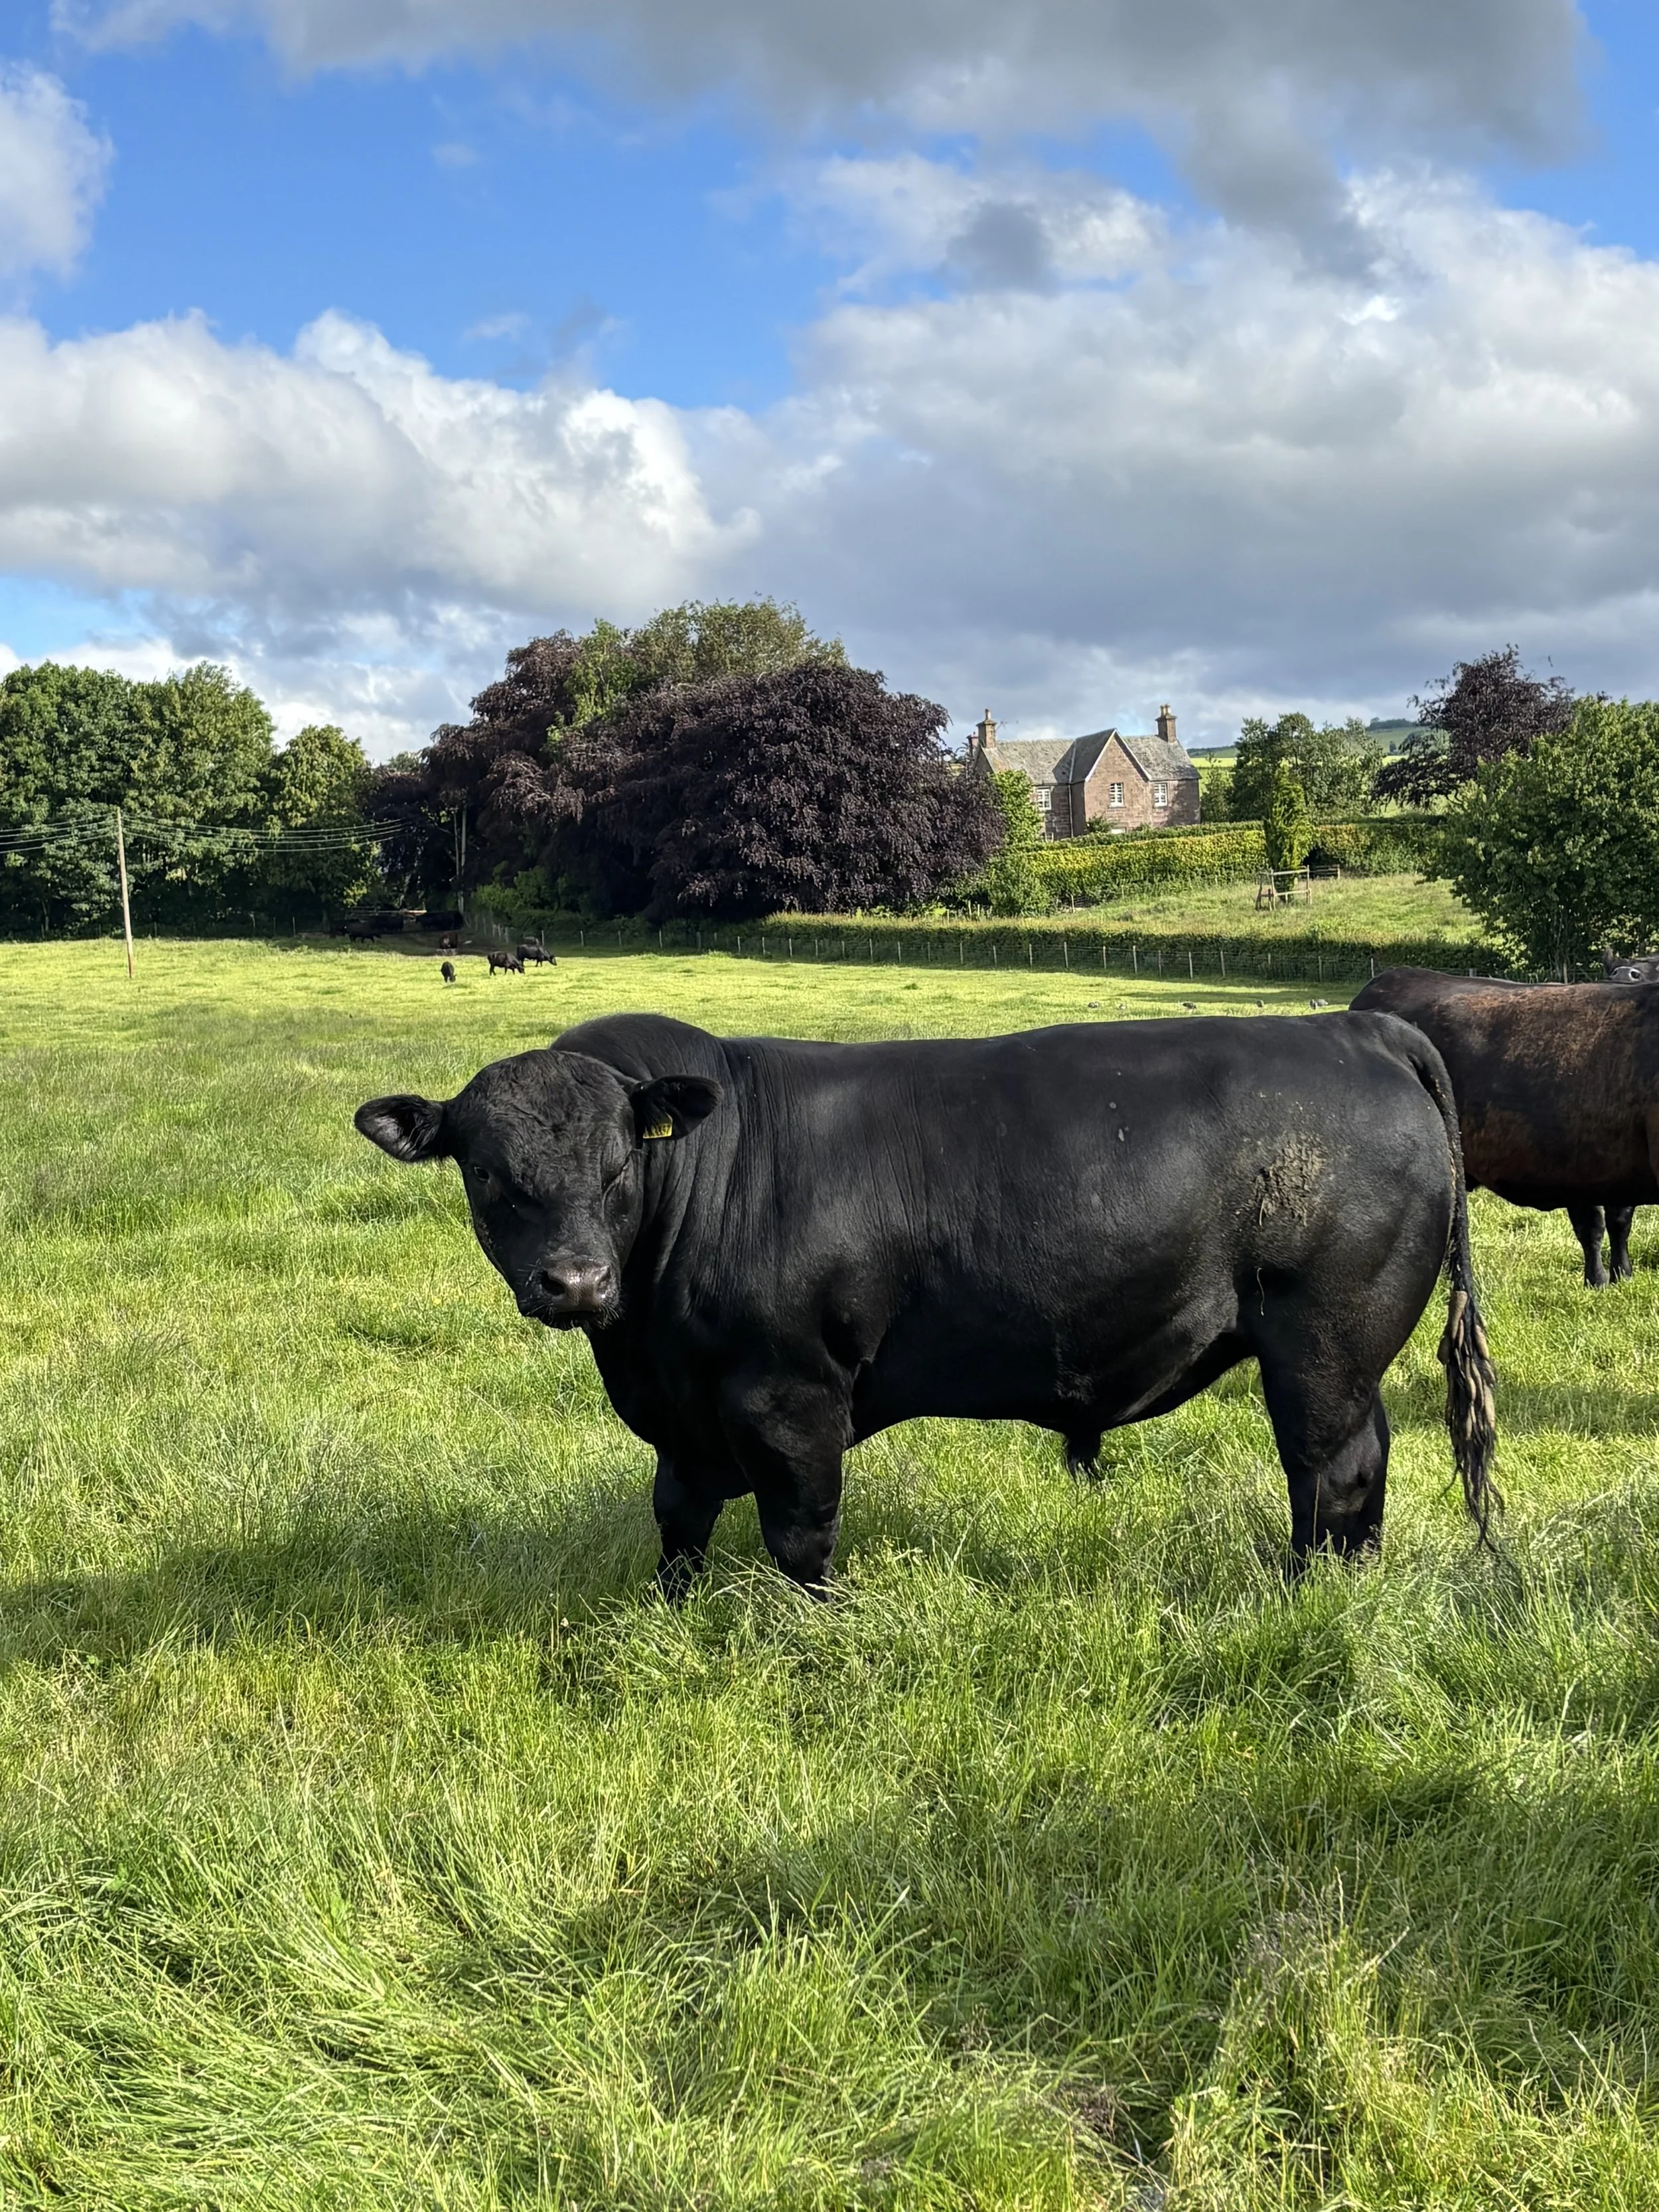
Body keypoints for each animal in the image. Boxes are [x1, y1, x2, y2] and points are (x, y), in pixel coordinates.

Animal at [355, 1011, 1497, 1595]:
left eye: (618, 1163)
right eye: (490, 1175)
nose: (578, 1282)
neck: (644, 1342)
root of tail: (1359, 1027)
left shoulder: (791, 1395)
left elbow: (798, 1532)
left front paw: (806, 1632)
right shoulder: (683, 1410)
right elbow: (677, 1516)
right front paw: (671, 1613)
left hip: (1321, 1336)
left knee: (1328, 1467)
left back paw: (1314, 1596)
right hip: (1346, 1350)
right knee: (1364, 1459)